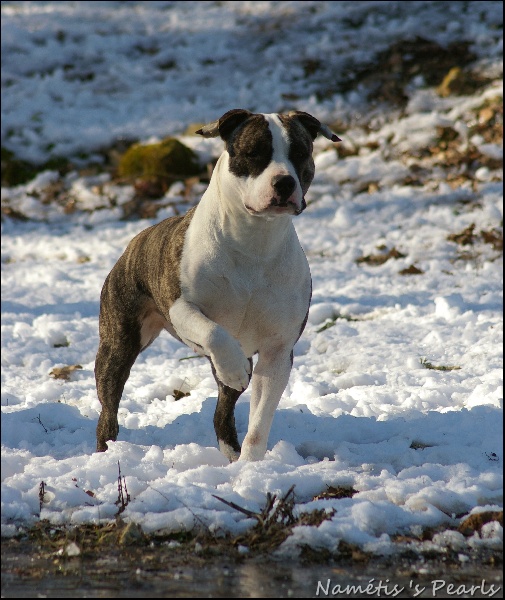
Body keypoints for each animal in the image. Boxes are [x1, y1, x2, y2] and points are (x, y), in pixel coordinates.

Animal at [94, 110, 338, 462]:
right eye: (254, 152)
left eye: (300, 153)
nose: (284, 182)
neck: (254, 241)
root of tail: (135, 241)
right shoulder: (181, 308)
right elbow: (214, 332)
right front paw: (232, 367)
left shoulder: (277, 351)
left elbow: (259, 422)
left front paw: (251, 466)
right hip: (118, 346)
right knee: (108, 410)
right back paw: (106, 452)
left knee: (223, 410)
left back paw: (231, 451)